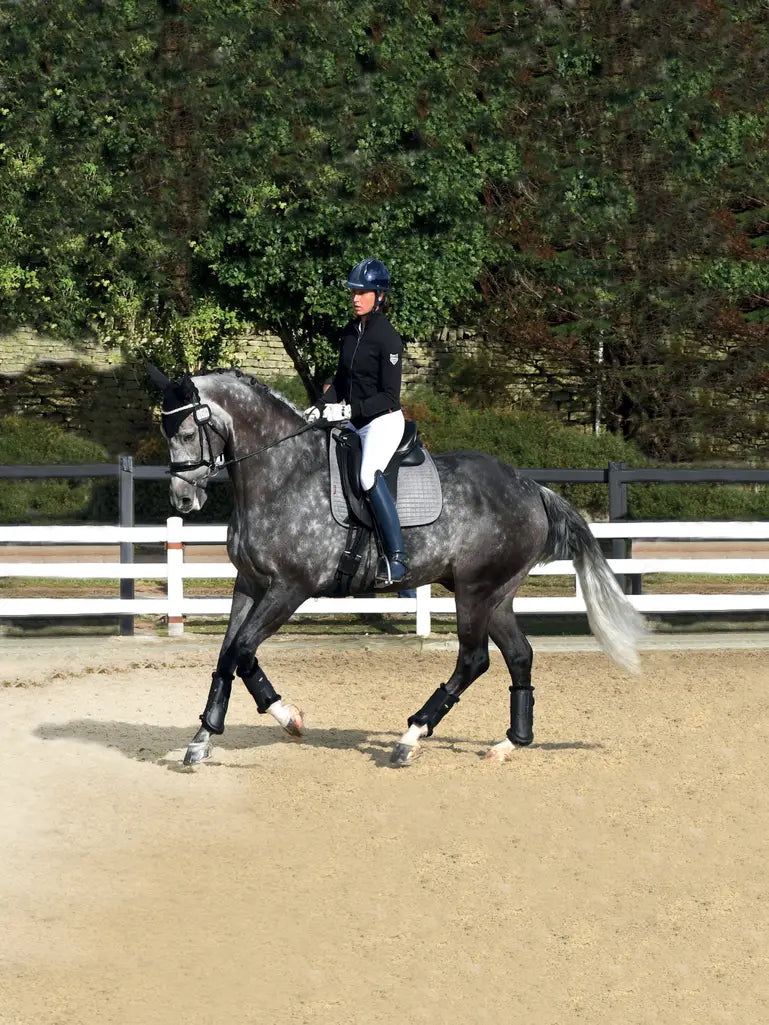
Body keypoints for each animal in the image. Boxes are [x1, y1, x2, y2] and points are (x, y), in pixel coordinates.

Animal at [150, 366, 645, 767]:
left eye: (188, 431)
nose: (182, 500)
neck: (282, 472)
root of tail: (532, 488)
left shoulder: (290, 588)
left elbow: (244, 651)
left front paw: (288, 717)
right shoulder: (249, 583)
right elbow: (227, 655)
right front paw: (202, 738)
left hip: (475, 591)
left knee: (474, 660)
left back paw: (411, 737)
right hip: (496, 595)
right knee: (519, 655)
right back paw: (510, 743)